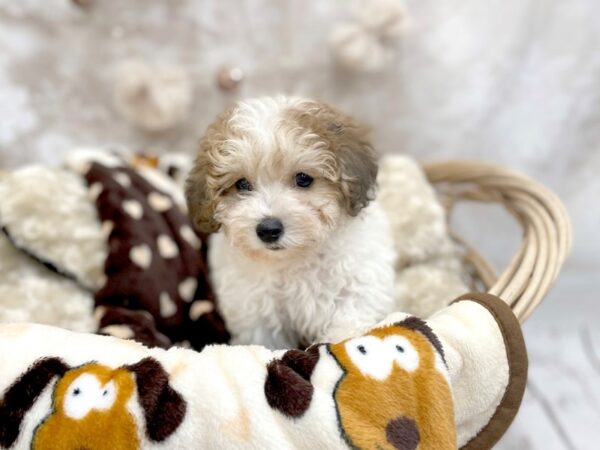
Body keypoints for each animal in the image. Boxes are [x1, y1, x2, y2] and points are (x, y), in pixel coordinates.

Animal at [185, 96, 396, 350]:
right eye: (242, 184)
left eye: (303, 179)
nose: (268, 230)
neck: (296, 260)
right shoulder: (257, 313)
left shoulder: (360, 284)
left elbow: (348, 323)